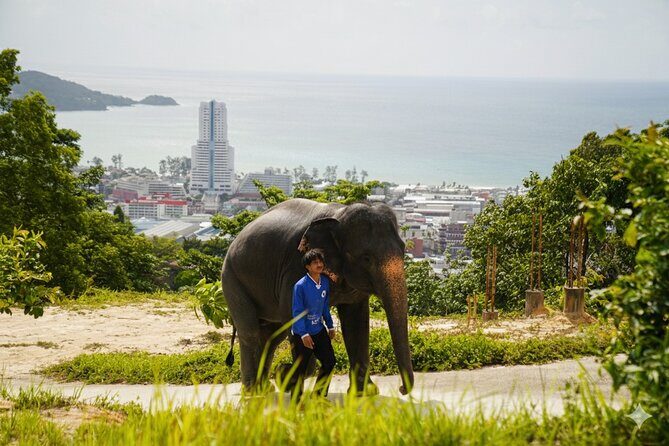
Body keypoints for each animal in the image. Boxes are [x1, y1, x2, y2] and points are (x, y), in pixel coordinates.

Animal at [221, 198, 414, 395]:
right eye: (366, 258)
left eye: (403, 249)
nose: (401, 388)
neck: (339, 215)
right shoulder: (295, 269)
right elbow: (294, 318)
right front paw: (286, 376)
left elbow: (356, 323)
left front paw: (364, 393)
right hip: (232, 279)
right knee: (251, 332)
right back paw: (253, 391)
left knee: (271, 335)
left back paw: (265, 388)